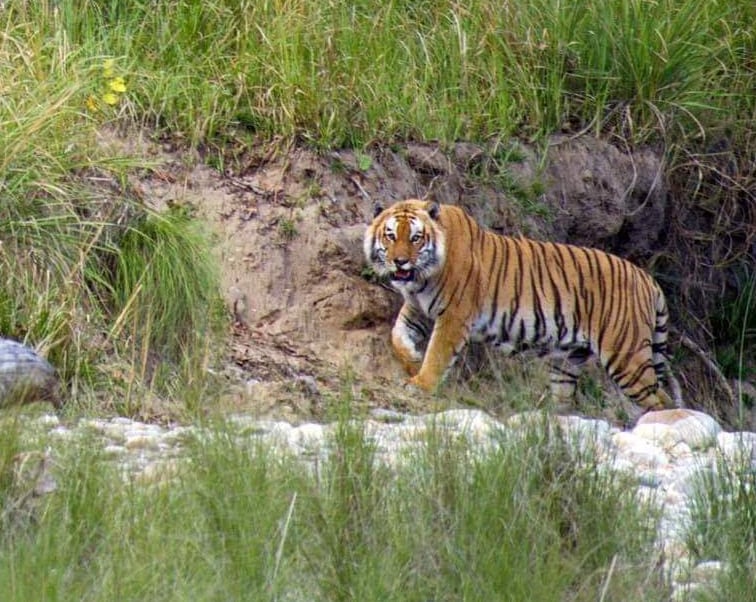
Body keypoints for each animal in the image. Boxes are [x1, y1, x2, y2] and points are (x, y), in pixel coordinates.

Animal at [363, 198, 681, 411]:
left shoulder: (454, 316)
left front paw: (421, 383)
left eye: (416, 238)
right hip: (568, 362)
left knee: (659, 400)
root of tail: (646, 278)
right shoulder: (418, 308)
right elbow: (397, 334)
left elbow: (437, 355)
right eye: (390, 235)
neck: (421, 278)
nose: (400, 261)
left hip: (626, 357)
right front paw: (411, 358)